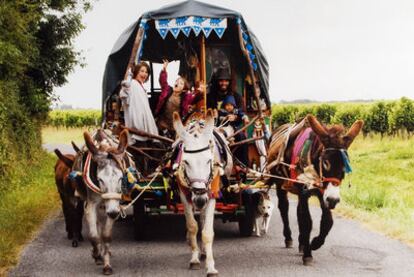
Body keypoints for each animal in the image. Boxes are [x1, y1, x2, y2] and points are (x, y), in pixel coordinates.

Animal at [83, 129, 129, 274]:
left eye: (121, 178)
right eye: (100, 179)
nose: (113, 213)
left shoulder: (115, 205)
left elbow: (106, 236)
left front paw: (107, 265)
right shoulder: (91, 204)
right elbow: (93, 236)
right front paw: (97, 255)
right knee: (97, 227)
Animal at [172, 110, 233, 276]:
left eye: (209, 161)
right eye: (186, 162)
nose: (199, 199)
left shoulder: (211, 194)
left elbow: (207, 232)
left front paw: (211, 267)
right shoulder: (184, 195)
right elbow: (192, 226)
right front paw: (194, 259)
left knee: (204, 218)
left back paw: (205, 252)